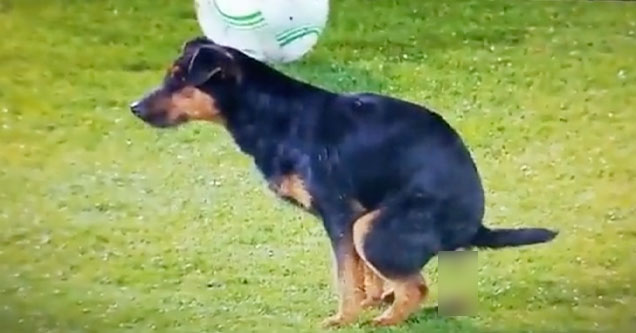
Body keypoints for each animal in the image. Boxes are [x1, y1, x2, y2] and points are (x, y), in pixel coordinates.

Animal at [129, 37, 556, 326]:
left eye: (179, 80)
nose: (133, 108)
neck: (273, 115)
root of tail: (475, 226)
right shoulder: (348, 216)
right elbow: (360, 275)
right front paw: (369, 302)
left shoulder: (340, 214)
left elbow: (346, 277)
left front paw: (345, 319)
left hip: (373, 227)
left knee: (417, 285)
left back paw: (388, 320)